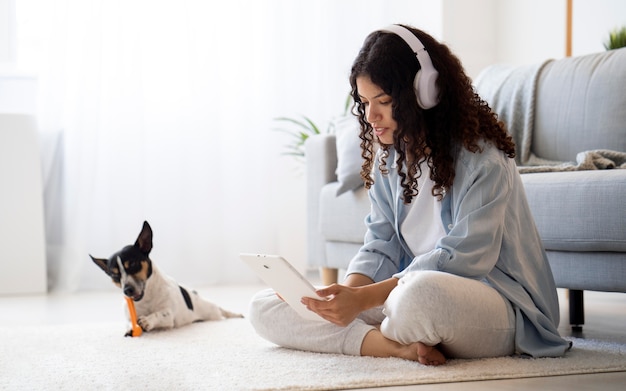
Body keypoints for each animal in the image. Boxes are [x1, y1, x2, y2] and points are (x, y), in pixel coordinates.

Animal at [90, 220, 241, 336]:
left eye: (133, 265)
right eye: (114, 275)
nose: (127, 290)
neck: (146, 297)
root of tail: (196, 295)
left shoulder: (169, 316)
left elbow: (159, 314)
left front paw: (147, 321)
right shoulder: (128, 314)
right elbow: (128, 322)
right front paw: (130, 327)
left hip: (212, 312)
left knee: (222, 311)